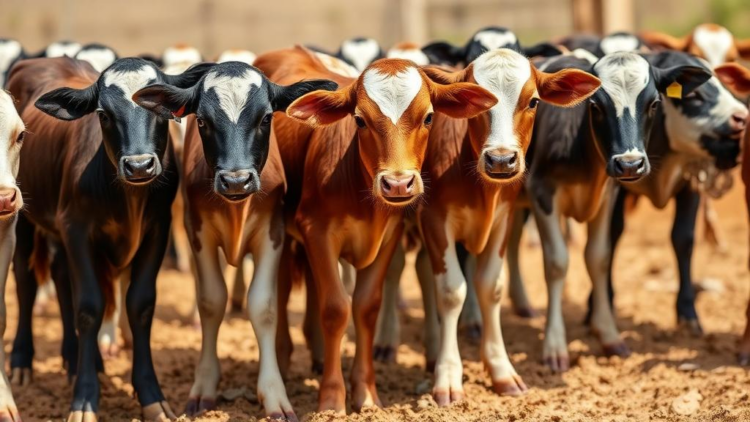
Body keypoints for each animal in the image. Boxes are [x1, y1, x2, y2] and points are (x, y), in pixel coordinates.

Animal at [6, 56, 212, 421]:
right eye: (103, 114)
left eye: (162, 109)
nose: (139, 166)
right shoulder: (76, 228)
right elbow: (89, 307)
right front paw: (85, 399)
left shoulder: (157, 230)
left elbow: (140, 305)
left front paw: (151, 396)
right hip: (26, 217)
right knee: (27, 283)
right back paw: (22, 362)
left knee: (61, 279)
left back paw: (73, 358)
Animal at [133, 60, 336, 419]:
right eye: (202, 120)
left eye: (266, 118)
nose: (236, 180)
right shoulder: (197, 231)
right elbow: (212, 301)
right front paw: (204, 386)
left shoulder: (272, 234)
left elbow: (264, 306)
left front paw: (274, 393)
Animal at [253, 45, 497, 413]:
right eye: (359, 120)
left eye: (428, 117)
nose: (397, 183)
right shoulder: (316, 232)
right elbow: (335, 308)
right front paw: (331, 398)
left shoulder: (388, 235)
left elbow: (366, 307)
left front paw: (366, 394)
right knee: (281, 292)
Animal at [416, 48, 601, 404]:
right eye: (477, 103)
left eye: (533, 101)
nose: (501, 160)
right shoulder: (433, 220)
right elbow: (451, 291)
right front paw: (448, 375)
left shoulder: (503, 218)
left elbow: (490, 286)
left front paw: (501, 370)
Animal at [509, 52, 711, 372]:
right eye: (595, 105)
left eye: (654, 104)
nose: (629, 164)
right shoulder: (542, 192)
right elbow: (556, 263)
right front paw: (555, 346)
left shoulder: (609, 195)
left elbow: (599, 258)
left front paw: (608, 335)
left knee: (512, 242)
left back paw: (522, 304)